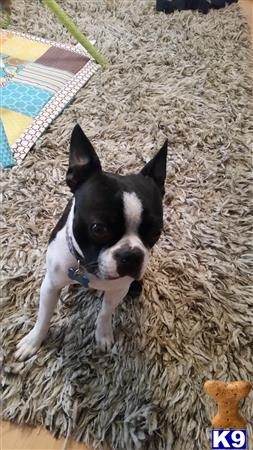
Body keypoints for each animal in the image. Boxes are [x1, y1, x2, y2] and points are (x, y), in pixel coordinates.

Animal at [14, 125, 167, 360]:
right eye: (99, 229)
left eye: (155, 232)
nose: (131, 255)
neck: (89, 268)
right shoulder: (50, 286)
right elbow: (43, 316)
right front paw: (33, 342)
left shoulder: (117, 290)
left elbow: (105, 312)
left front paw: (103, 336)